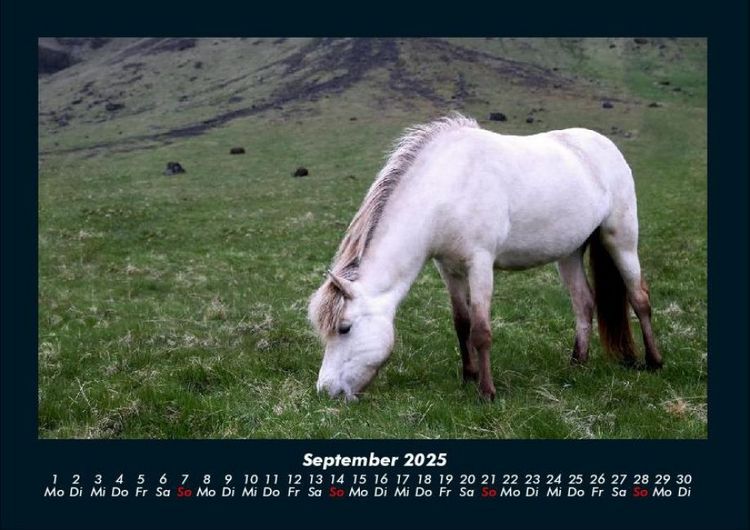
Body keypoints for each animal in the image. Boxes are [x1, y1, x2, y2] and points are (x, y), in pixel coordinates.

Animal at [308, 113, 662, 401]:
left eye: (344, 328)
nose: (326, 390)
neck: (447, 188)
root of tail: (604, 144)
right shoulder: (448, 269)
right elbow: (461, 323)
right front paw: (469, 377)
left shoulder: (479, 264)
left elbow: (481, 331)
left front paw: (487, 392)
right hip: (570, 253)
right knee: (584, 303)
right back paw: (577, 363)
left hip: (621, 239)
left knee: (639, 298)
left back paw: (654, 361)